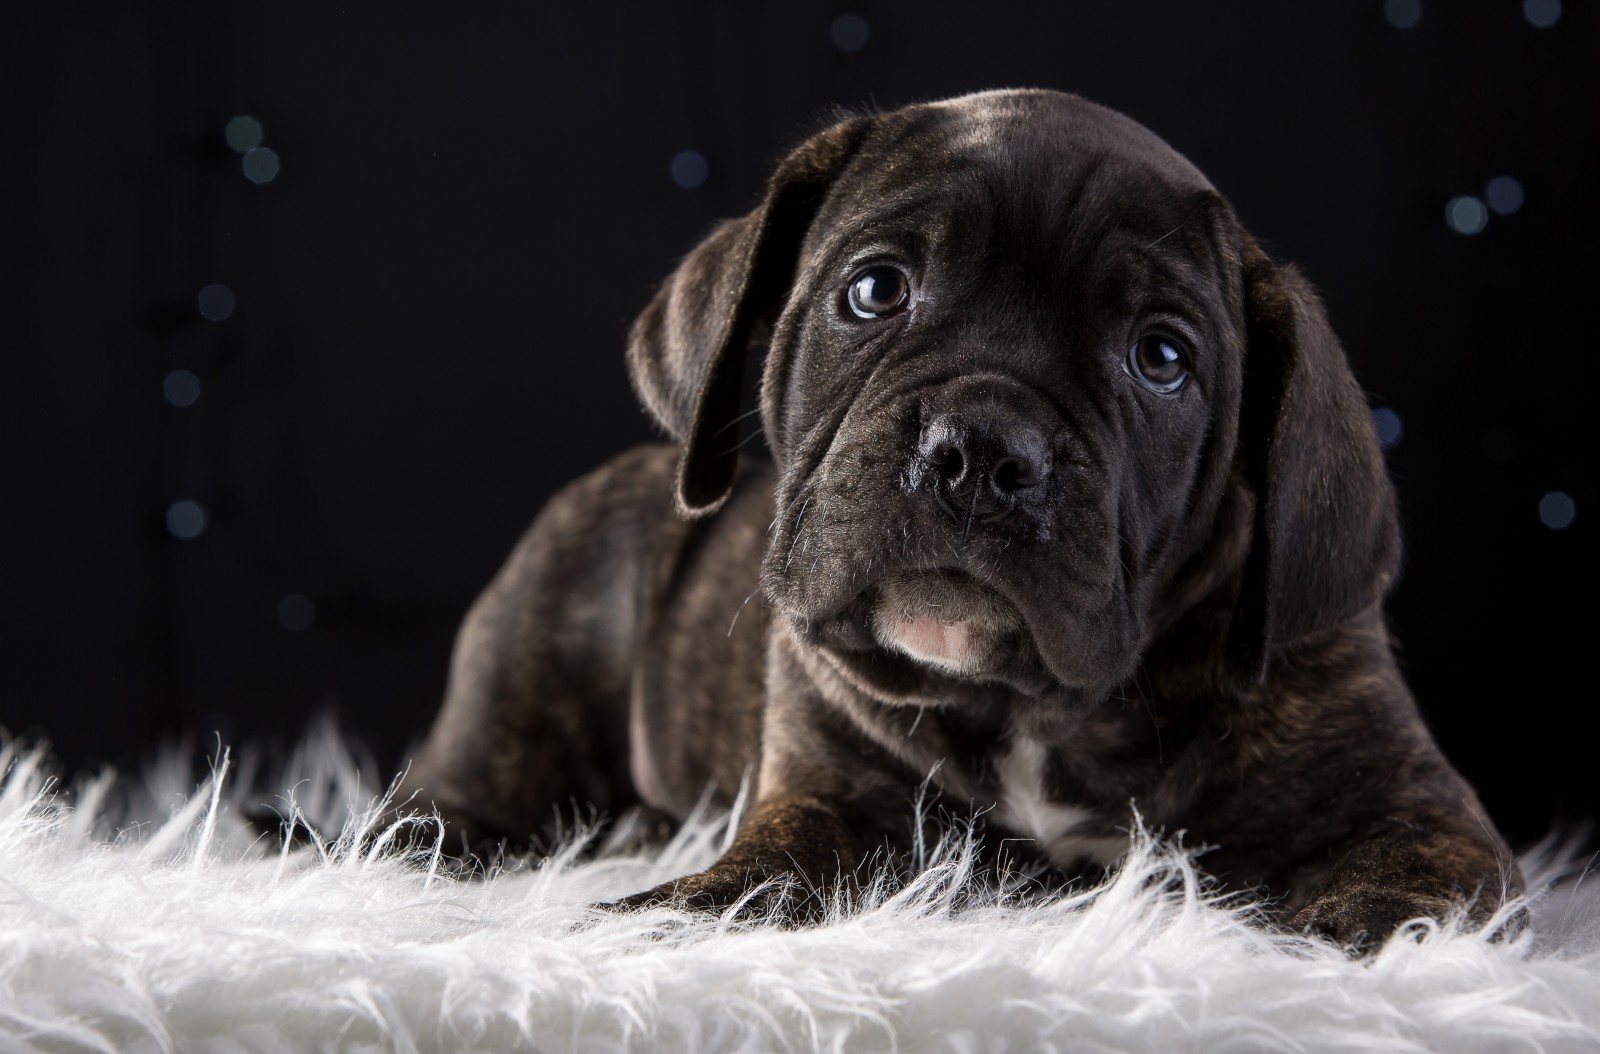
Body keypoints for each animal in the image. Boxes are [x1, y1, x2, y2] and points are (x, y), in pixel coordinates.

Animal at [393, 88, 1516, 946]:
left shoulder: (1419, 807)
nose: (982, 451)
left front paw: (1320, 944)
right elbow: (758, 876)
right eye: (874, 289)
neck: (1035, 707)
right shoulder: (828, 797)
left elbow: (1401, 888)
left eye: (1161, 358)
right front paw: (660, 914)